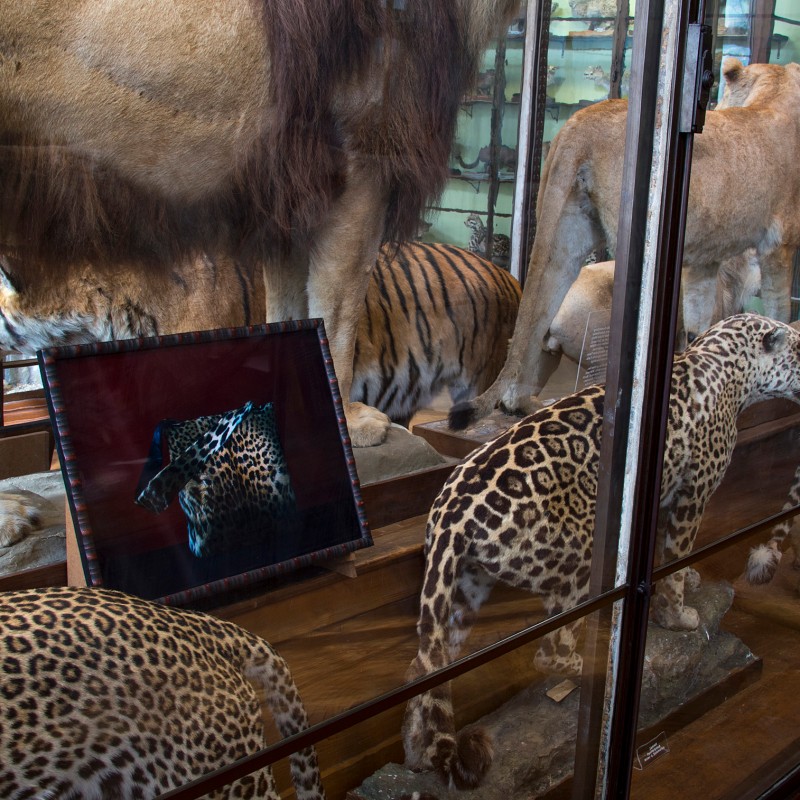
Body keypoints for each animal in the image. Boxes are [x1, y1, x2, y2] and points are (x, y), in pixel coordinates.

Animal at [402, 314, 800, 790]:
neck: (731, 367)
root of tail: (449, 513)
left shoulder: (664, 497)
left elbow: (669, 555)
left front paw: (690, 581)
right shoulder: (691, 497)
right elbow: (674, 559)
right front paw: (678, 617)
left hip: (465, 585)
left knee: (425, 667)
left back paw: (416, 755)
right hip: (579, 557)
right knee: (549, 650)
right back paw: (599, 664)